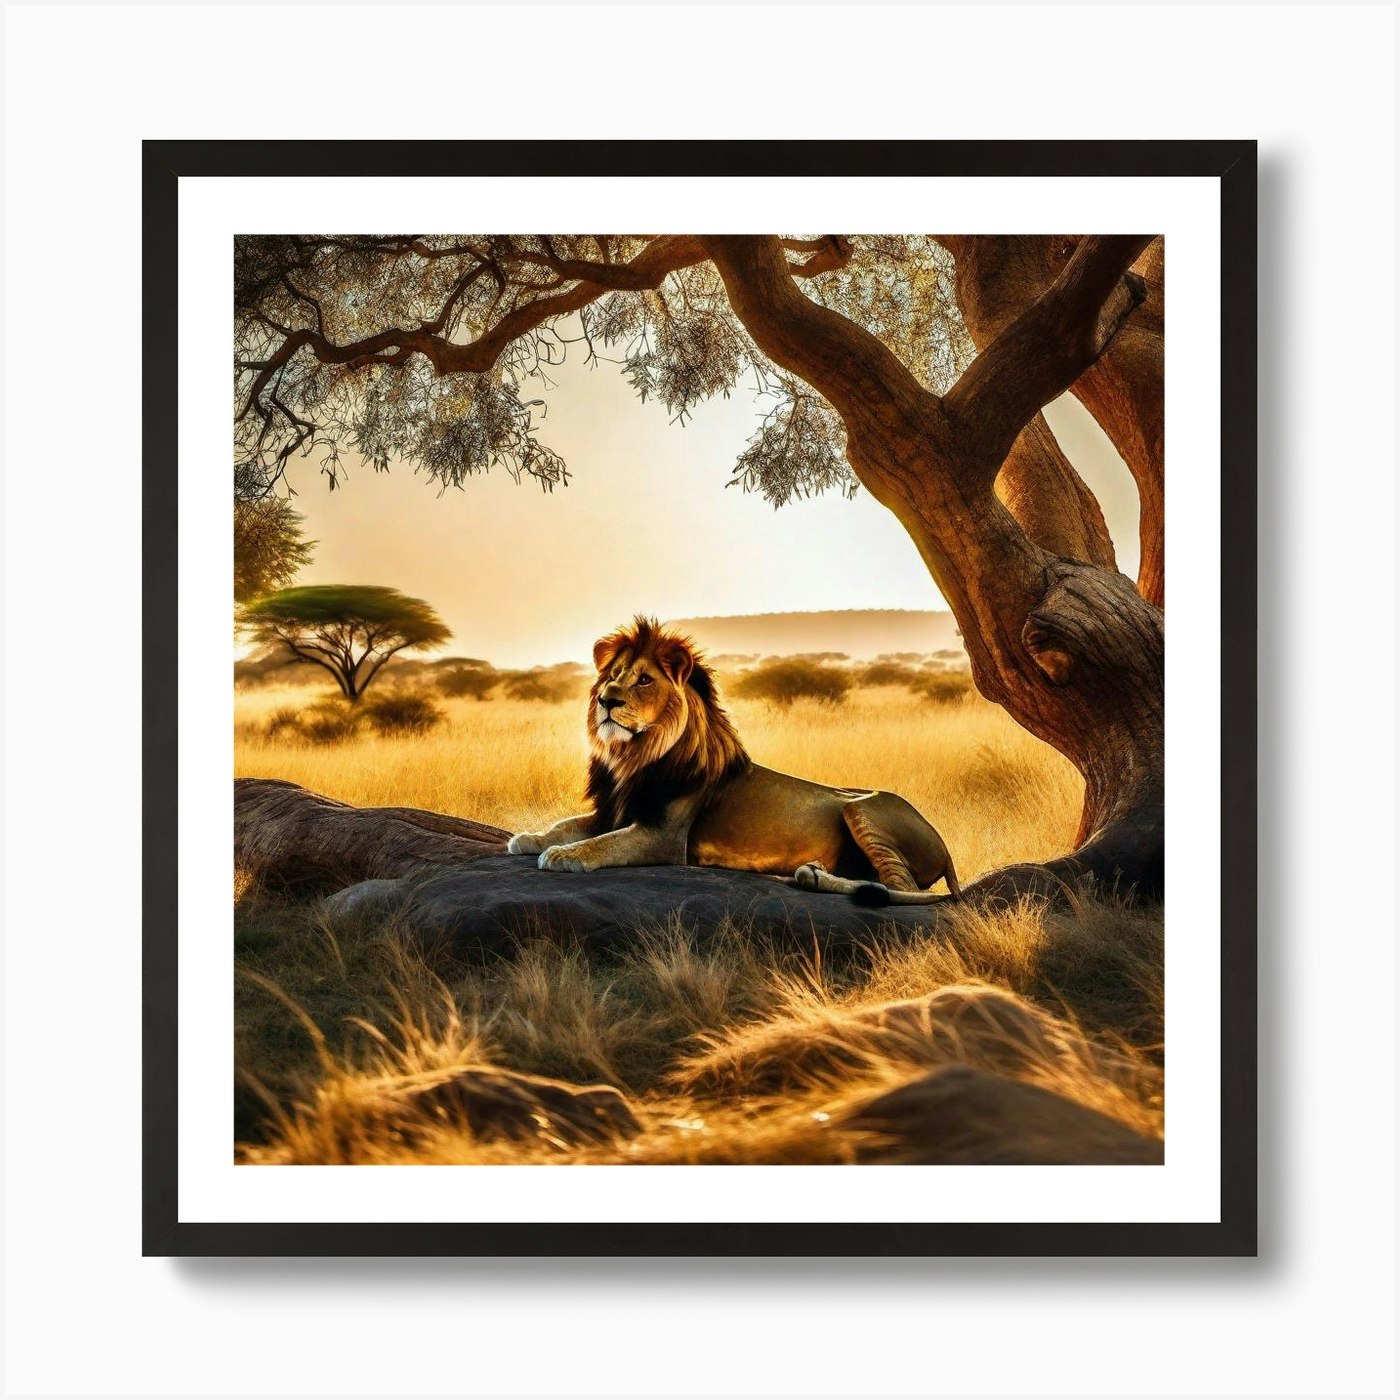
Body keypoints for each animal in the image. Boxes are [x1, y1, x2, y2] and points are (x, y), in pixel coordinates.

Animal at [507, 618, 960, 906]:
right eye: (612, 675)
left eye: (644, 680)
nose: (605, 700)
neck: (633, 757)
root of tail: (944, 845)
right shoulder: (614, 812)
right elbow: (567, 824)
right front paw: (528, 838)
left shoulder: (663, 836)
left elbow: (603, 843)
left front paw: (562, 856)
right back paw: (810, 873)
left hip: (862, 808)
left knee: (914, 893)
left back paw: (814, 877)